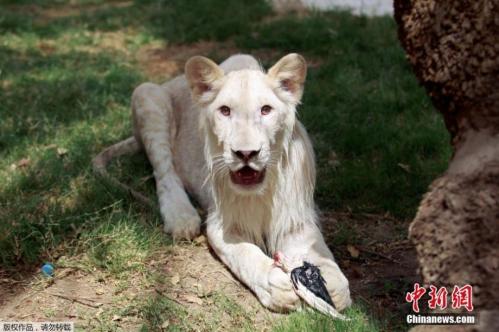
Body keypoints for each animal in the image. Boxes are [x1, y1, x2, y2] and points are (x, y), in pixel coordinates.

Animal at [93, 53, 352, 312]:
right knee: (164, 171)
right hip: (147, 95)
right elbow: (246, 256)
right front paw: (275, 284)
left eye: (266, 110)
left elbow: (327, 265)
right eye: (225, 111)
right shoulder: (221, 224)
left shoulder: (294, 219)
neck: (261, 193)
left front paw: (327, 286)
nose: (246, 153)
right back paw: (181, 217)